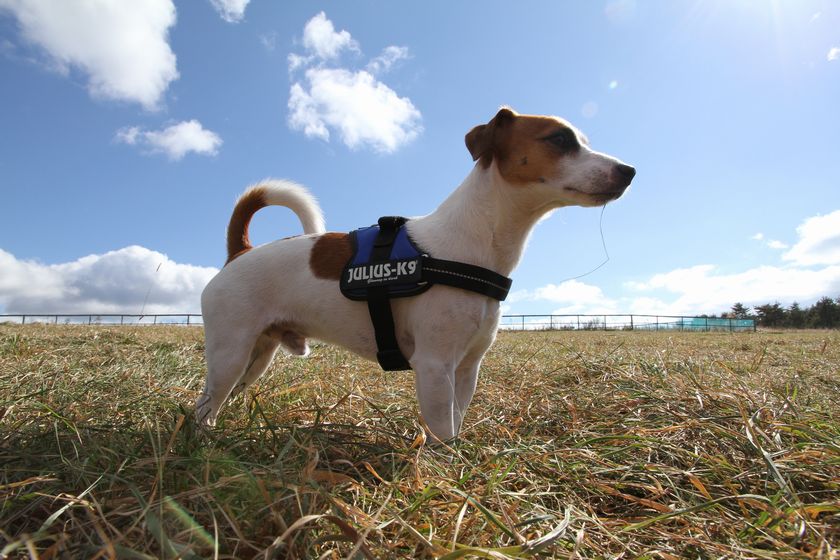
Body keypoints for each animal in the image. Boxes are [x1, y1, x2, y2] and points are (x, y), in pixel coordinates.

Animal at [196, 107, 635, 441]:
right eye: (559, 139)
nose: (629, 169)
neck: (476, 240)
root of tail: (240, 252)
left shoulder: (466, 369)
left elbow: (456, 421)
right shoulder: (434, 366)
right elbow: (442, 429)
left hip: (257, 358)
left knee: (218, 399)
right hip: (230, 353)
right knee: (203, 405)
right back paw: (203, 443)